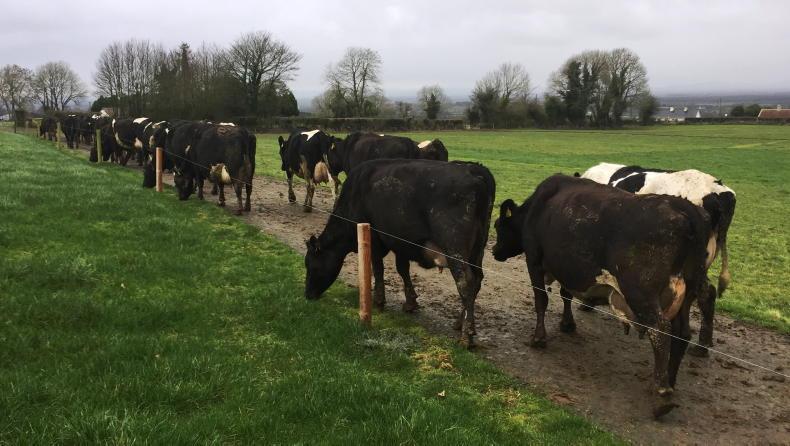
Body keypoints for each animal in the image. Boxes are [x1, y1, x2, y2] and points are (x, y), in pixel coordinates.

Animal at [304, 159, 496, 347]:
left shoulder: (375, 238)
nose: (307, 295)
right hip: (477, 251)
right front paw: (410, 302)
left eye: (312, 266)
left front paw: (379, 301)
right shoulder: (400, 242)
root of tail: (475, 169)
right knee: (477, 280)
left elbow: (378, 269)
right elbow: (402, 269)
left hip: (455, 247)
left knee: (466, 283)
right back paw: (460, 323)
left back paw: (466, 335)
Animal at [491, 174, 713, 418]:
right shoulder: (569, 269)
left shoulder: (534, 261)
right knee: (681, 334)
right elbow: (566, 295)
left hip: (641, 293)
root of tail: (684, 208)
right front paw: (567, 324)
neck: (537, 207)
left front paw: (539, 338)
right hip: (688, 293)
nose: (494, 251)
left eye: (498, 226)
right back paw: (669, 381)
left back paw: (662, 393)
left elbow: (542, 300)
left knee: (660, 330)